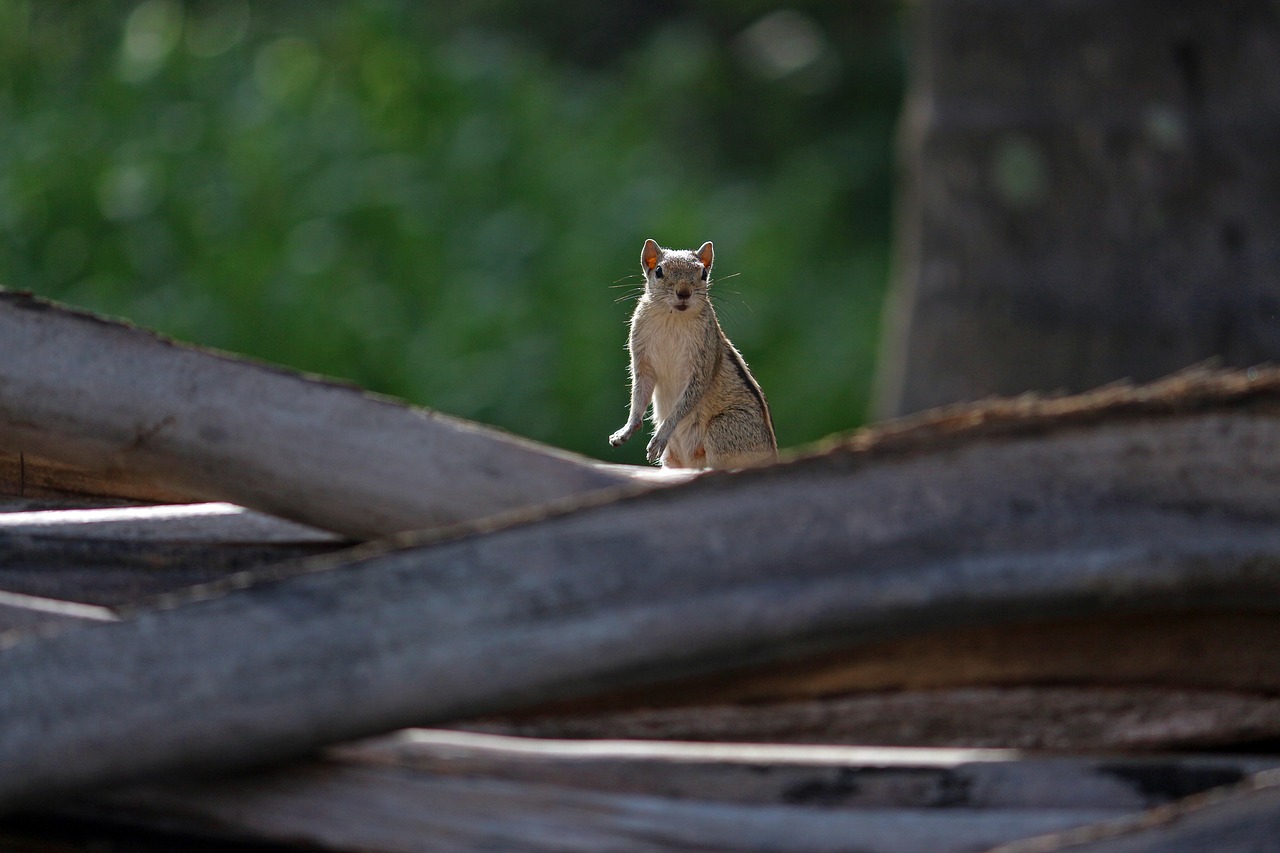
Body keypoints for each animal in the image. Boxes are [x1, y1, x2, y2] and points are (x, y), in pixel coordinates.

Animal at [611, 235, 778, 468]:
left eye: (704, 273)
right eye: (659, 271)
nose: (684, 292)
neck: (672, 318)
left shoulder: (704, 358)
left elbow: (688, 398)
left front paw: (661, 435)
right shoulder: (642, 358)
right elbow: (640, 392)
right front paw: (625, 431)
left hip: (723, 429)